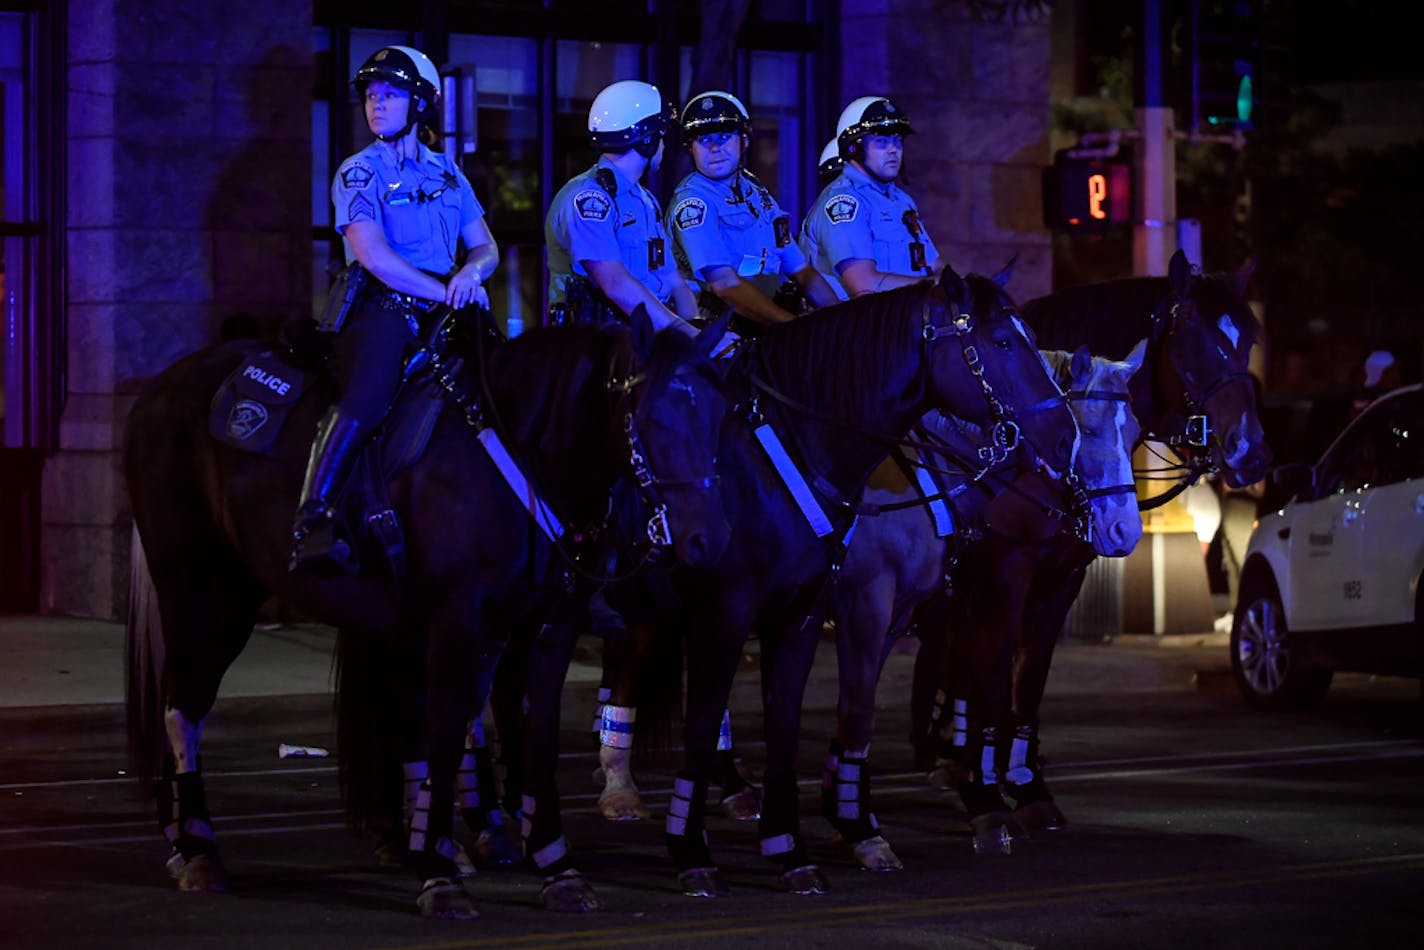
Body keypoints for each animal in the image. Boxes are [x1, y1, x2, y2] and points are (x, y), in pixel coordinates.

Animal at [125, 309, 734, 917]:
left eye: (718, 416)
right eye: (655, 417)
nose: (707, 540)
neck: (523, 455)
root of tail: (160, 387)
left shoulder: (546, 629)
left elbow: (534, 735)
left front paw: (555, 866)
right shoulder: (456, 623)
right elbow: (443, 732)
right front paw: (440, 875)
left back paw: (182, 842)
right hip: (205, 590)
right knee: (184, 708)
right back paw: (200, 850)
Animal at [649, 267, 1076, 900]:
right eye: (1002, 342)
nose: (1065, 435)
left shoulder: (868, 612)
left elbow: (847, 710)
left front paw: (844, 816)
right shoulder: (801, 607)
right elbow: (845, 708)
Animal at [917, 249, 1275, 837]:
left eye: (1246, 339)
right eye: (1189, 331)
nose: (1252, 452)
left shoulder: (1061, 576)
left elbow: (1028, 673)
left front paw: (1026, 783)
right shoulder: (1003, 572)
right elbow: (993, 670)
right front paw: (987, 792)